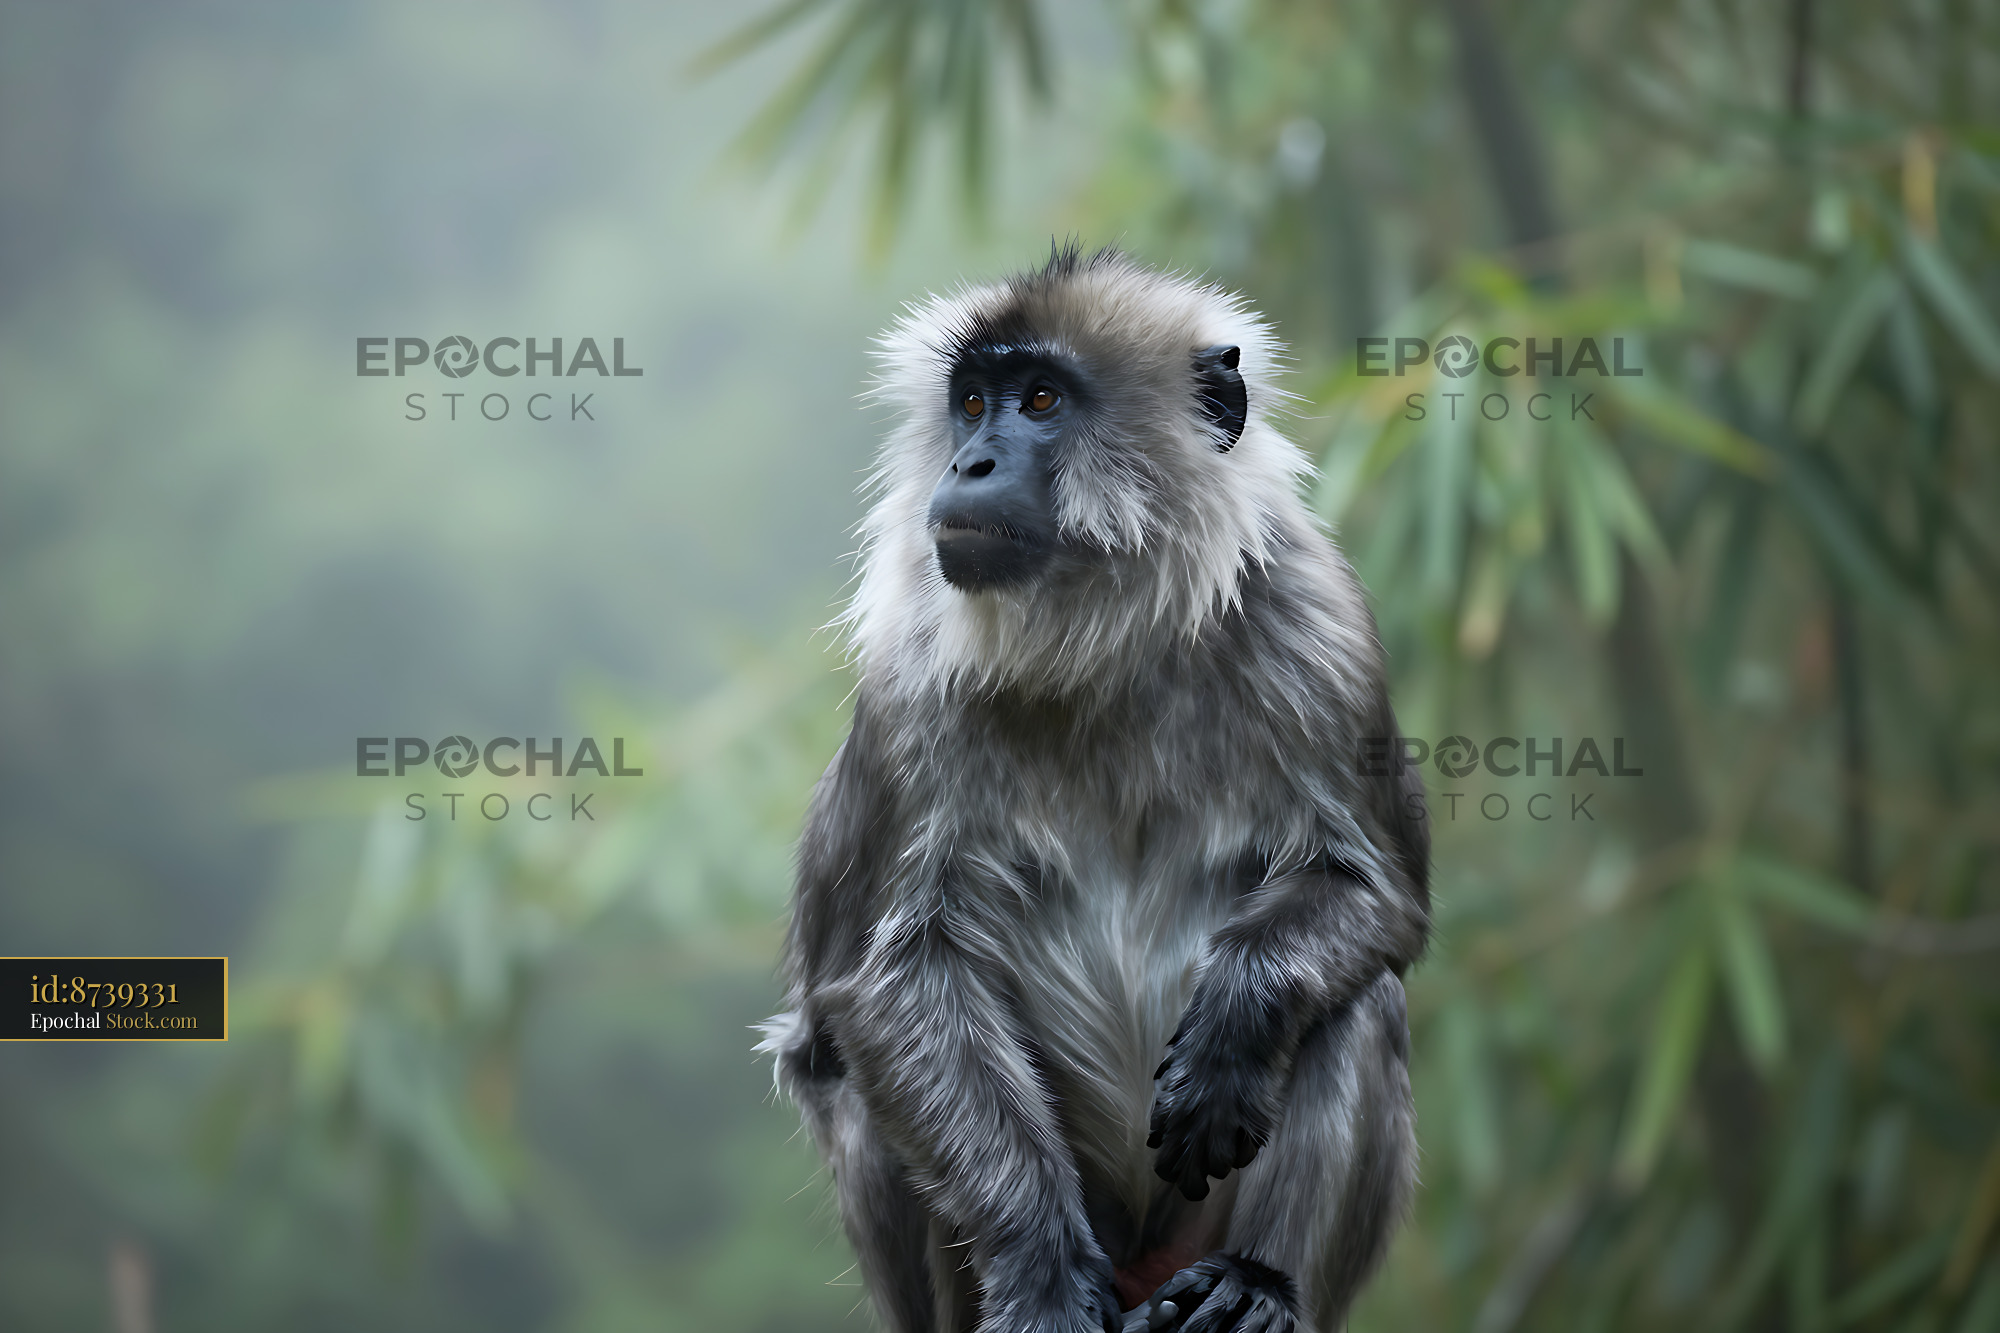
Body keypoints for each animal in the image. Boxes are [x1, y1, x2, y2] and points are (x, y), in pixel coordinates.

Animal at [760, 245, 1430, 1333]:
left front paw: (1232, 1032)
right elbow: (888, 981)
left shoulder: (1315, 617)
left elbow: (1381, 896)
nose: (968, 464)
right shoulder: (908, 683)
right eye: (972, 403)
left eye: (1039, 399)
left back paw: (1258, 1283)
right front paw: (1039, 1279)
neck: (1108, 639)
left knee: (1358, 998)